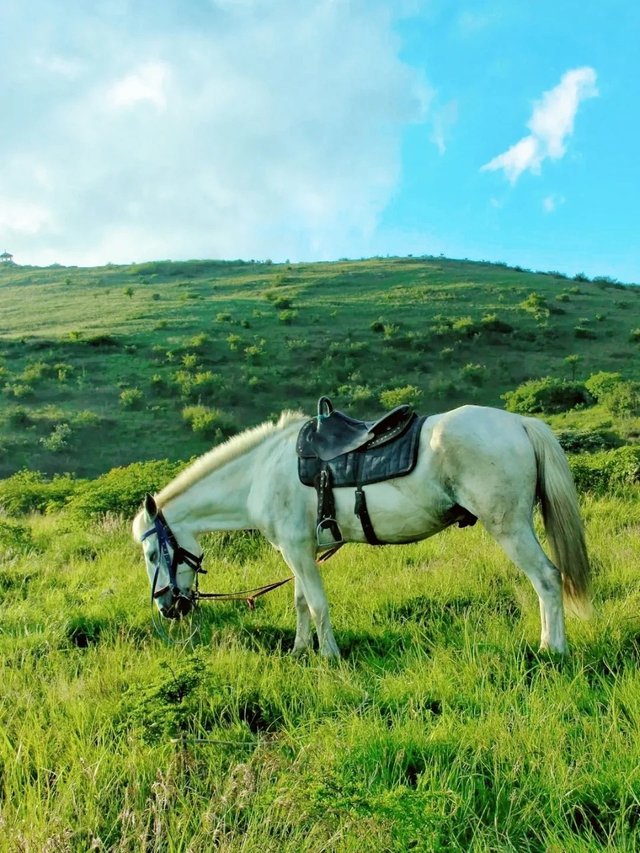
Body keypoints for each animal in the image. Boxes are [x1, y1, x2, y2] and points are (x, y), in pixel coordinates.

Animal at [132, 402, 592, 656]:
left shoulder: (296, 550)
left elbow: (318, 604)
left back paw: (551, 649)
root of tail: (518, 422)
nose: (166, 607)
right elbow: (301, 602)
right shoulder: (299, 551)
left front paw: (329, 657)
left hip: (509, 527)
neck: (259, 472)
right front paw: (300, 650)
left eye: (153, 553)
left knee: (547, 579)